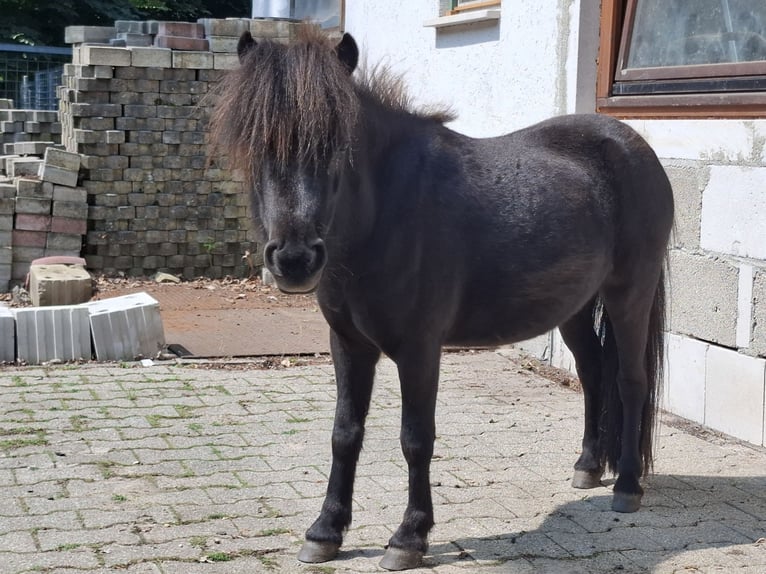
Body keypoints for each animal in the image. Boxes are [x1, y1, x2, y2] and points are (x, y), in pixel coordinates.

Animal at [209, 26, 674, 571]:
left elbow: (415, 438)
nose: (296, 258)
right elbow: (345, 433)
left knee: (629, 380)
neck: (385, 214)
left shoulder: (419, 349)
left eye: (338, 145)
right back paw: (587, 466)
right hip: (576, 308)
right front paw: (325, 531)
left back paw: (627, 487)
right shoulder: (348, 344)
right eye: (257, 142)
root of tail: (632, 145)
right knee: (593, 371)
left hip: (630, 294)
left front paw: (409, 537)